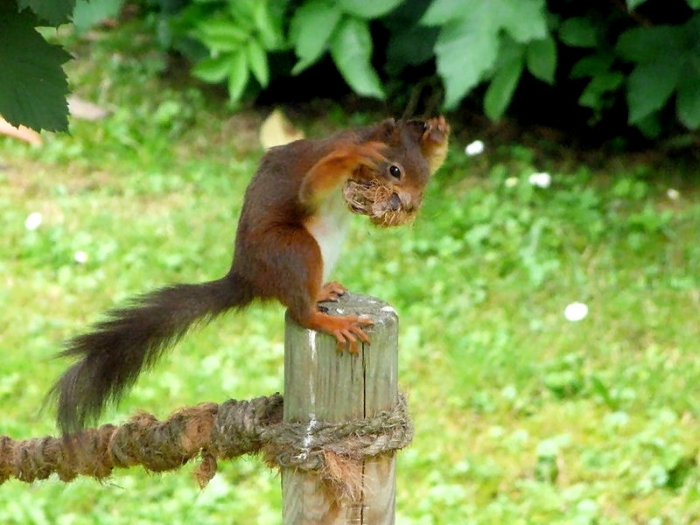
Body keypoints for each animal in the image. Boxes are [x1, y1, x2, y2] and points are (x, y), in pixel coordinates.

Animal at [49, 116, 450, 435]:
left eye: (426, 177)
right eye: (394, 170)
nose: (411, 206)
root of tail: (249, 277)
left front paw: (438, 137)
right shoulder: (320, 162)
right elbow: (310, 186)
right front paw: (354, 156)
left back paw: (322, 291)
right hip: (295, 250)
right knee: (299, 312)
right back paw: (328, 321)